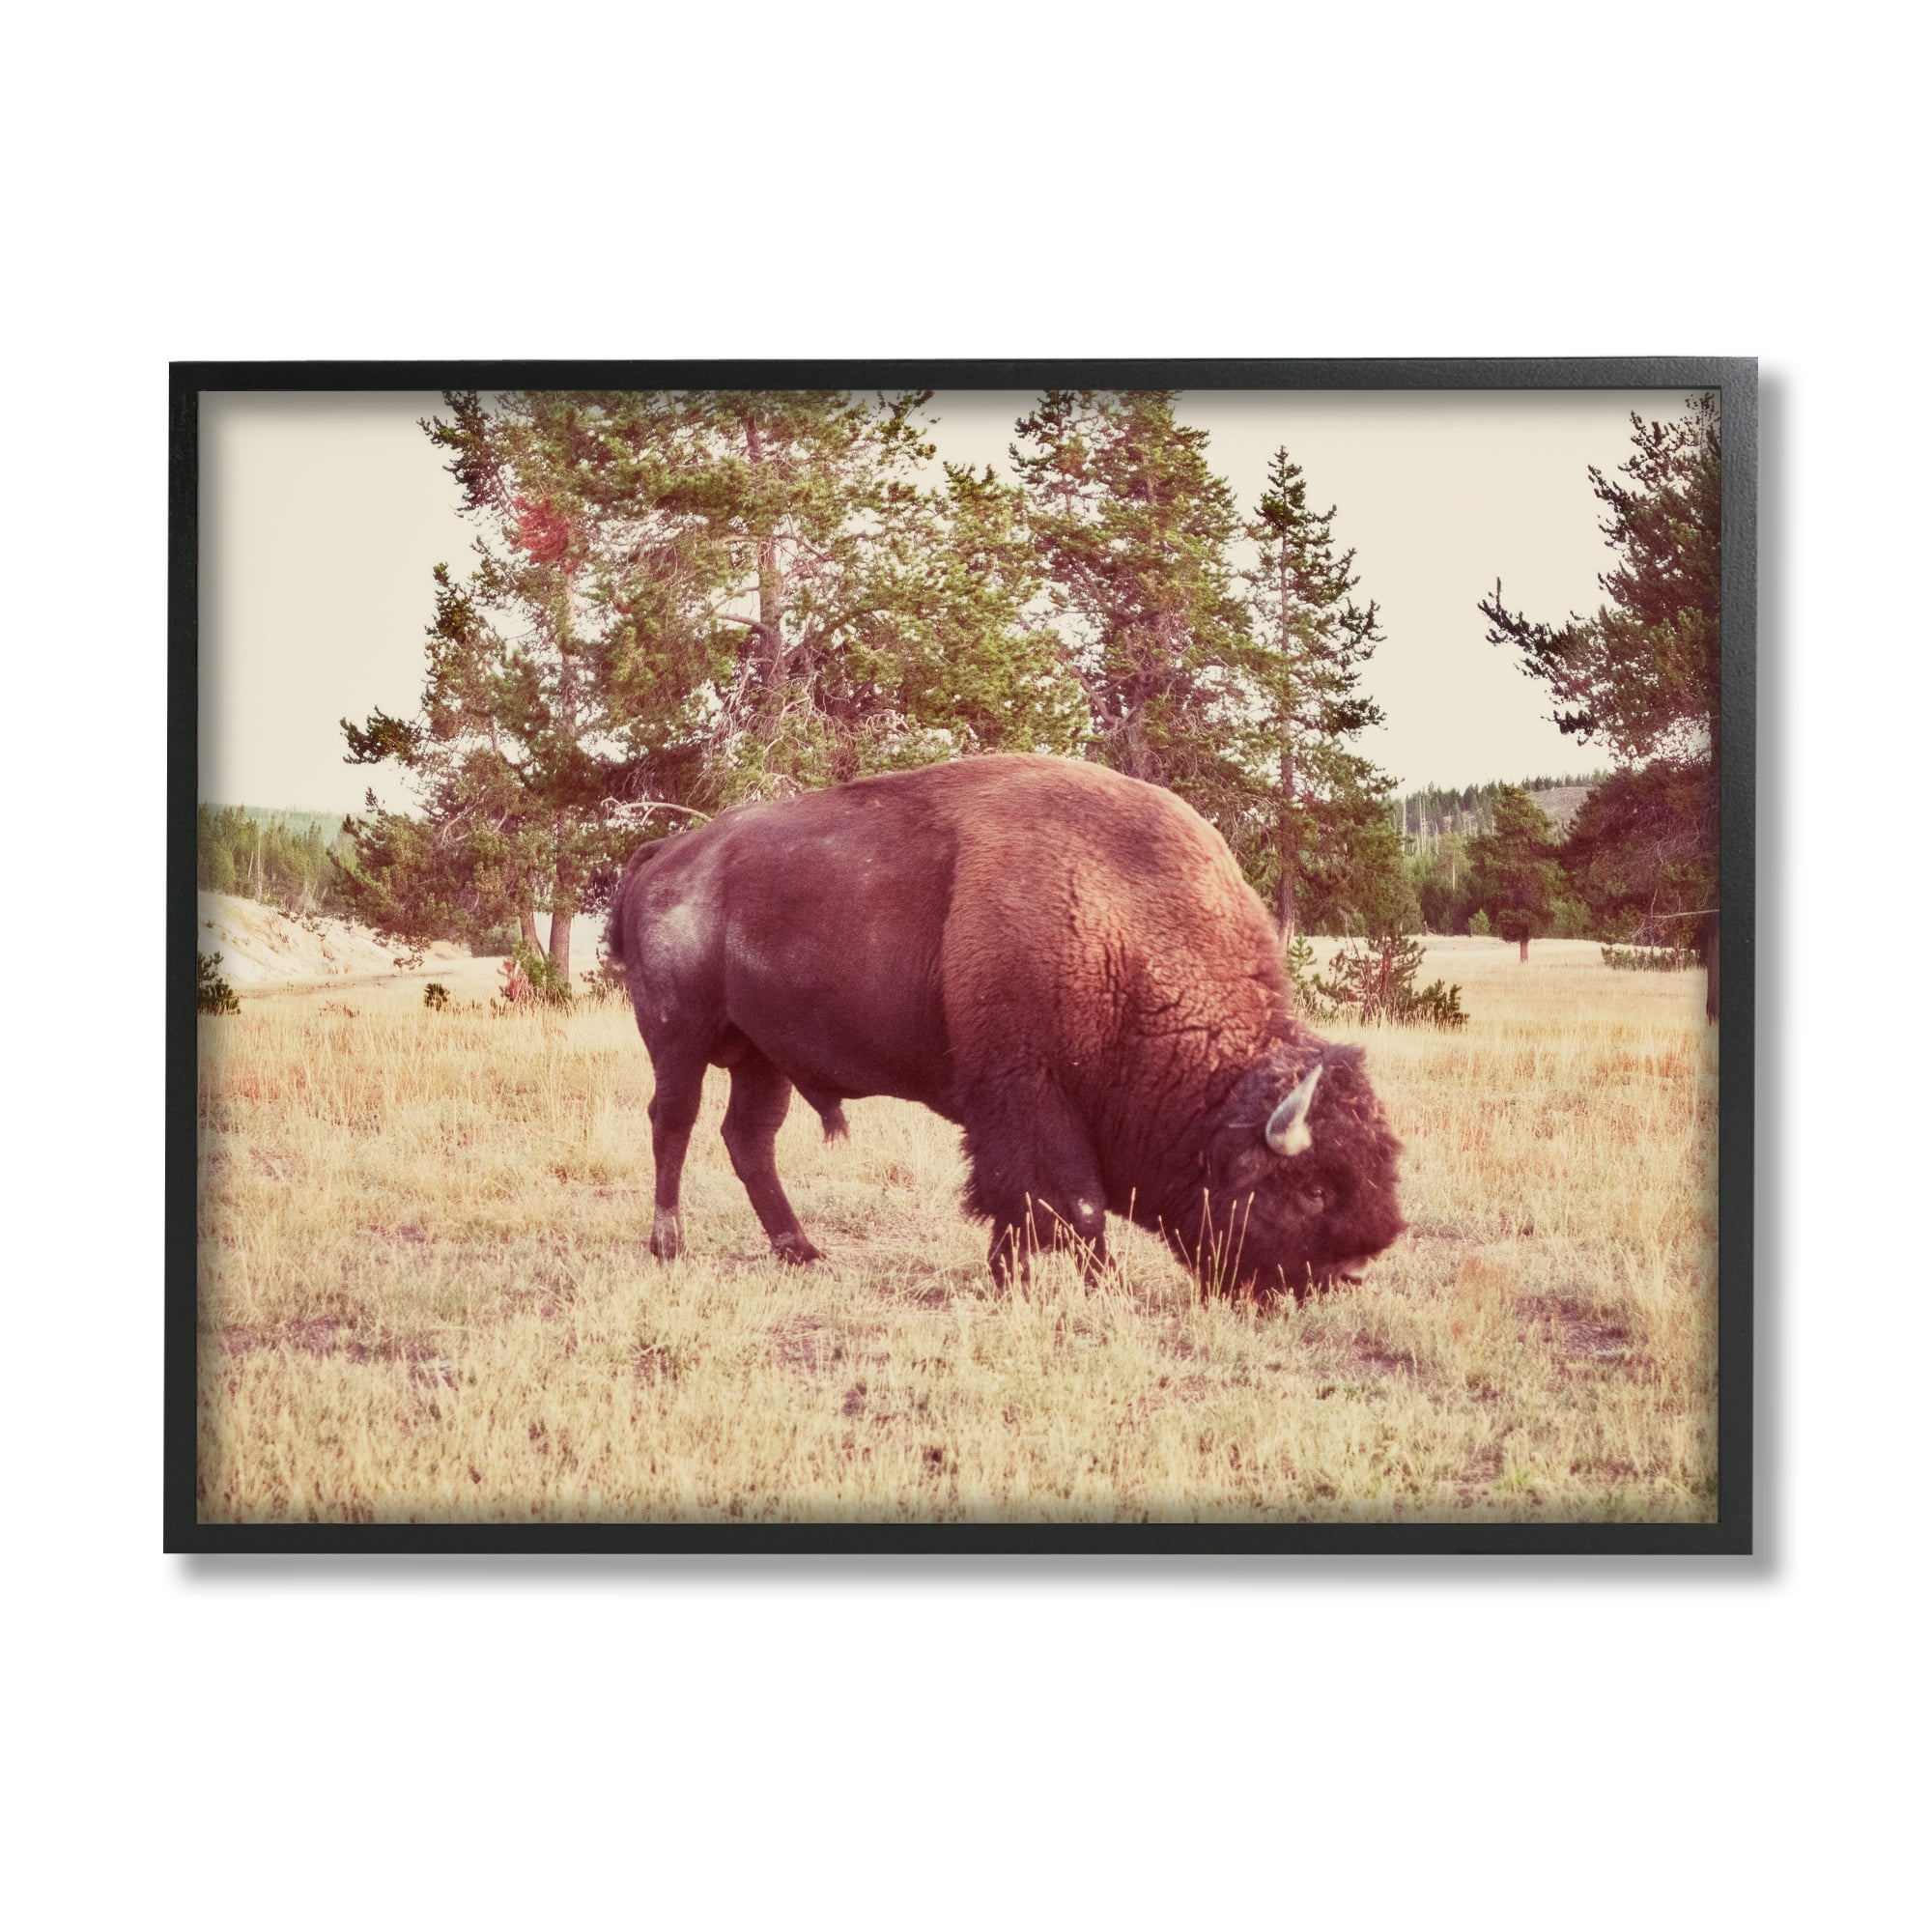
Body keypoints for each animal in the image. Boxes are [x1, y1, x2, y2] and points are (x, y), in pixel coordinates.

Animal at [606, 755, 1405, 1301]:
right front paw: (1091, 1285)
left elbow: (1029, 1207)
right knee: (673, 1123)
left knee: (749, 1138)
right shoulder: (1026, 1097)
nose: (1352, 1271)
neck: (1126, 931)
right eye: (1310, 1190)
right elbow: (1069, 1204)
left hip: (762, 1054)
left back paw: (799, 1247)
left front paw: (1017, 1276)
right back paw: (669, 1243)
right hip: (679, 1036)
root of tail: (667, 854)